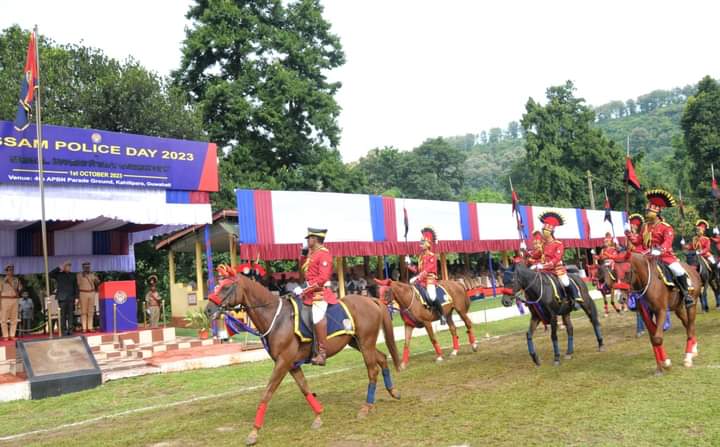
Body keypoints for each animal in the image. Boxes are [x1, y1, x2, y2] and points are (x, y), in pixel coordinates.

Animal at [205, 274, 402, 446]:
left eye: (226, 287)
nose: (208, 310)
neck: (277, 319)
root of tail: (371, 300)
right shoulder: (291, 364)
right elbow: (304, 388)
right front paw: (318, 416)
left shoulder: (283, 362)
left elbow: (267, 393)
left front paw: (254, 432)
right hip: (357, 343)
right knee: (382, 358)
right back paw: (392, 391)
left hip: (366, 342)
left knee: (372, 370)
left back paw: (366, 407)